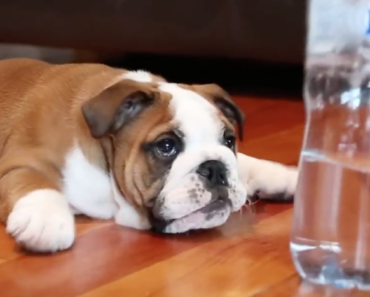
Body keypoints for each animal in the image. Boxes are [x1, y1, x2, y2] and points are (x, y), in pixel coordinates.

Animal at [0, 58, 298, 252]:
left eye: (229, 140)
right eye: (166, 146)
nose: (213, 169)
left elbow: (245, 162)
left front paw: (285, 176)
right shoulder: (19, 161)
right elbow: (34, 181)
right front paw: (44, 220)